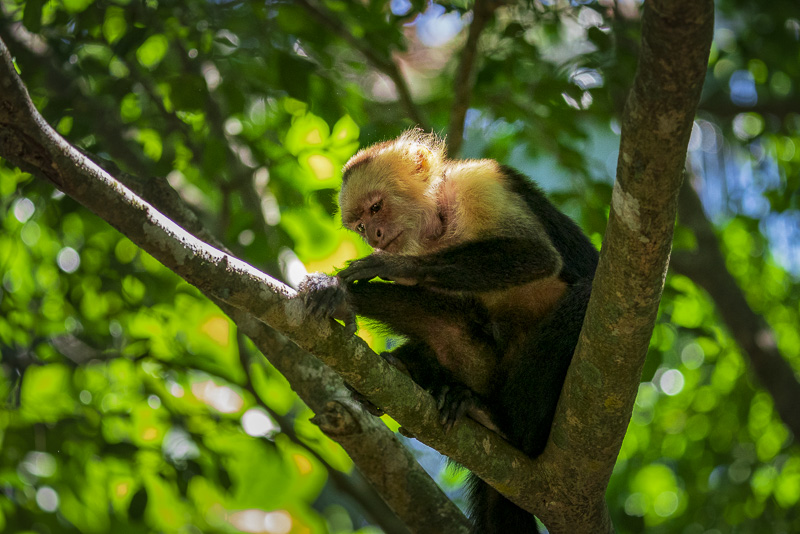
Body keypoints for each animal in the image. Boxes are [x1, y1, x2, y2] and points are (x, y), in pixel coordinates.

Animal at [302, 131, 600, 534]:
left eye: (376, 208)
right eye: (360, 225)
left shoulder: (480, 183)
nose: (375, 236)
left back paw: (507, 428)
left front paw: (396, 266)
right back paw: (405, 367)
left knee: (583, 297)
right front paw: (340, 293)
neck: (440, 225)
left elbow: (538, 257)